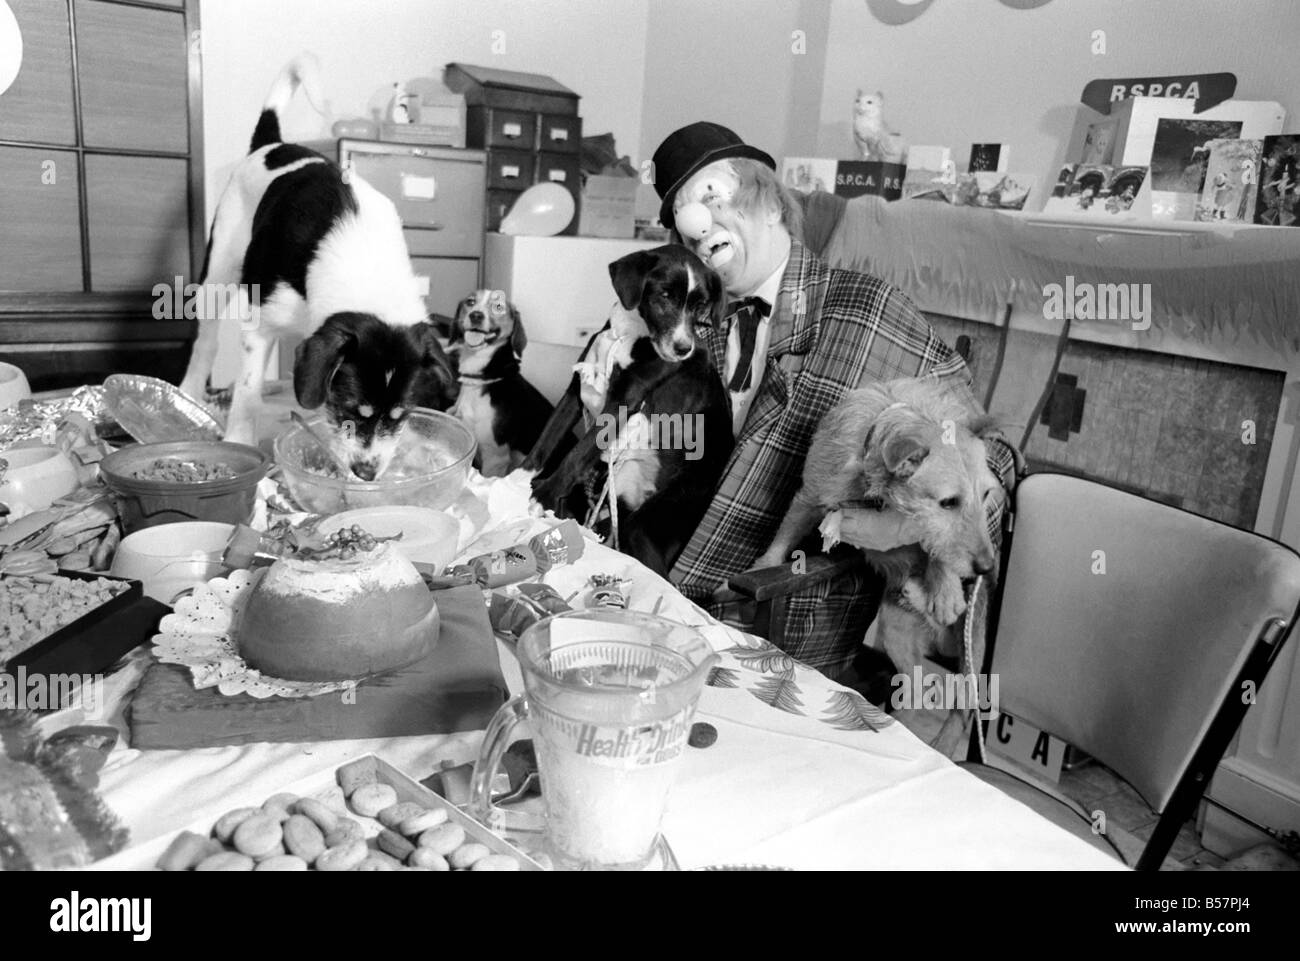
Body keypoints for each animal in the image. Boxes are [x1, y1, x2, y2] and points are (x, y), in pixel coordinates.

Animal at [178, 54, 452, 481]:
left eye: (400, 416)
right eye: (353, 408)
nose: (366, 473)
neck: (364, 262)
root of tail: (272, 143)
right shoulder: (259, 326)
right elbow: (248, 393)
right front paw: (239, 442)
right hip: (218, 270)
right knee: (205, 342)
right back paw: (188, 396)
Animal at [527, 248, 733, 574]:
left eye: (700, 306)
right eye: (664, 295)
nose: (683, 349)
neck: (629, 334)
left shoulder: (623, 403)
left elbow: (577, 453)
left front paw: (543, 495)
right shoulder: (574, 393)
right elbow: (544, 444)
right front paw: (513, 479)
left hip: (649, 523)